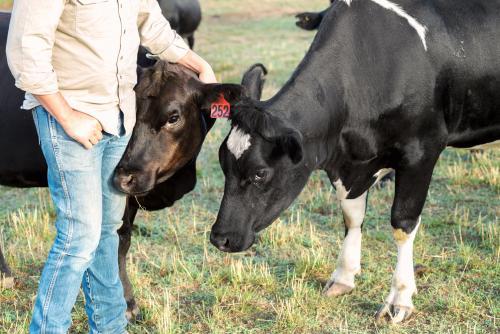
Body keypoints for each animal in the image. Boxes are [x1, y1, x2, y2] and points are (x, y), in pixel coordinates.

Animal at [209, 0, 500, 324]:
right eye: (223, 164)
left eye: (260, 173)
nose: (220, 238)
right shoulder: (349, 164)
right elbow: (351, 216)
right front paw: (343, 277)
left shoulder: (422, 150)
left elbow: (402, 223)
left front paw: (400, 297)